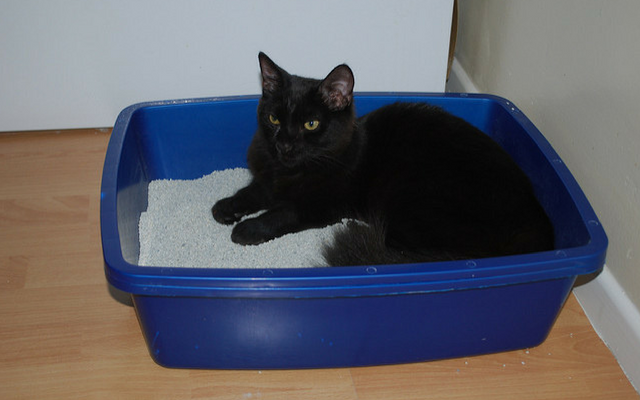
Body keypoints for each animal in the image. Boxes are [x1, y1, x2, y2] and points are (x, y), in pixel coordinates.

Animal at [212, 53, 552, 266]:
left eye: (311, 124)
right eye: (273, 119)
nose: (284, 145)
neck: (290, 170)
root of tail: (534, 216)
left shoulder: (324, 204)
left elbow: (284, 212)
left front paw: (249, 229)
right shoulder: (268, 179)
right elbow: (253, 191)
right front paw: (226, 207)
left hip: (413, 193)